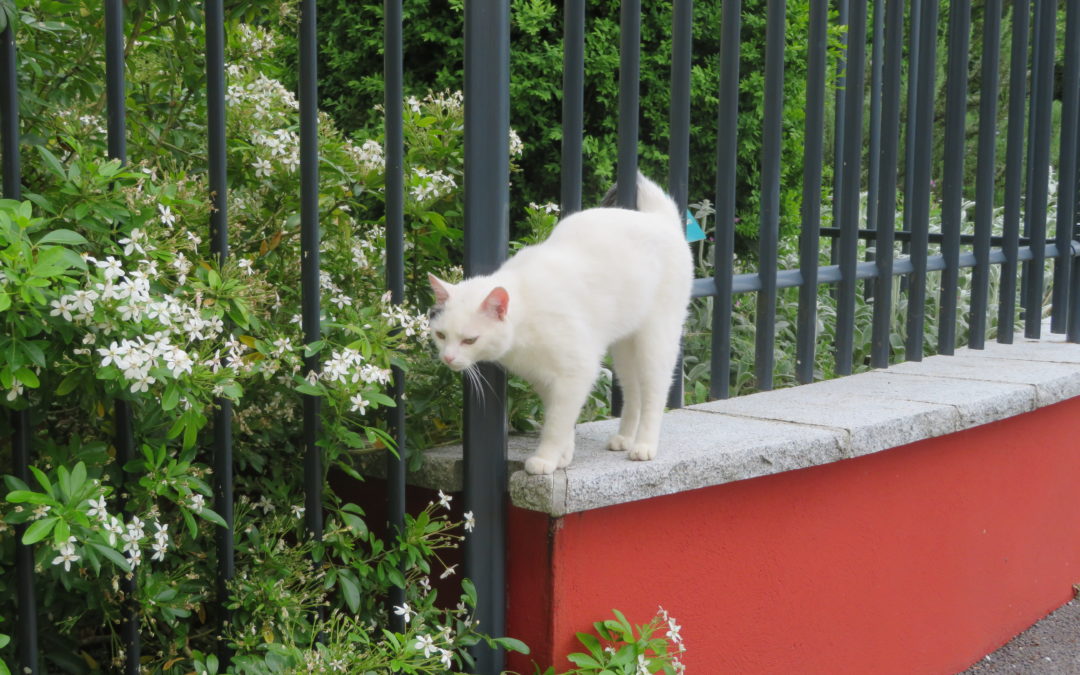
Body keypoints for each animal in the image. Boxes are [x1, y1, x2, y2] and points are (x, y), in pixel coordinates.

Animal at [427, 173, 691, 473]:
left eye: (469, 340)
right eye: (440, 335)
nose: (447, 358)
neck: (526, 313)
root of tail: (662, 220)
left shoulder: (577, 372)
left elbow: (556, 424)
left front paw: (545, 460)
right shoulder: (545, 380)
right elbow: (563, 421)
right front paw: (563, 457)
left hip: (655, 341)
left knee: (655, 393)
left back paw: (644, 445)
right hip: (624, 350)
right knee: (633, 392)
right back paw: (624, 438)